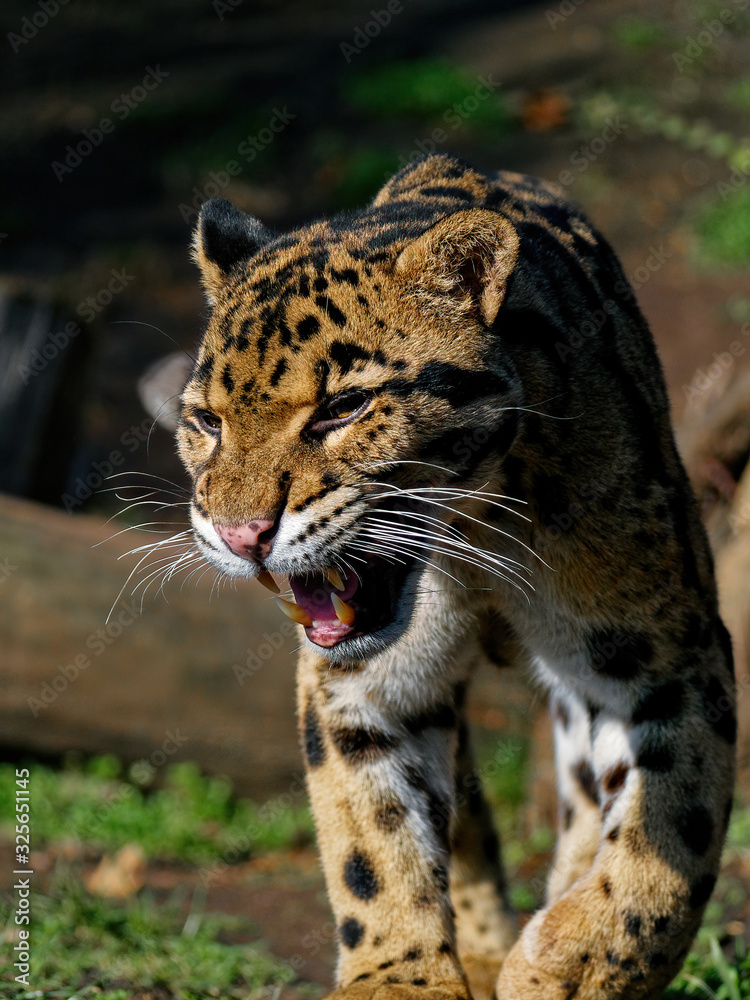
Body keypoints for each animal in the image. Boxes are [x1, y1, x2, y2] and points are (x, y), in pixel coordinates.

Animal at [173, 152, 736, 999]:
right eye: (206, 421)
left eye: (344, 407)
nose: (242, 536)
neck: (476, 534)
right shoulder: (359, 686)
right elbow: (370, 840)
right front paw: (399, 977)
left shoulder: (670, 657)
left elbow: (671, 831)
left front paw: (574, 963)